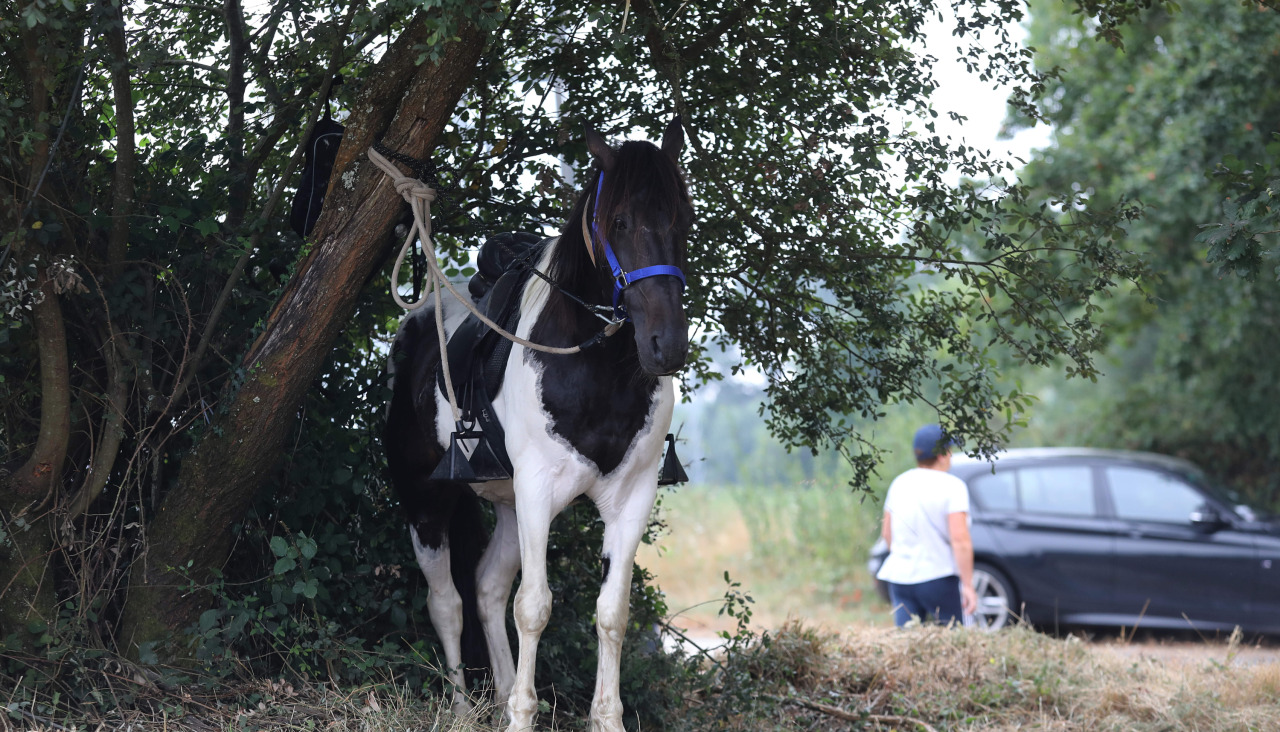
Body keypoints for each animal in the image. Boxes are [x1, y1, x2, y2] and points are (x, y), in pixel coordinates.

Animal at [383, 117, 692, 731]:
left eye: (683, 220)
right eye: (619, 221)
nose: (666, 345)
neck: (596, 370)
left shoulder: (629, 498)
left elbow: (611, 611)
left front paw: (604, 718)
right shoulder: (538, 490)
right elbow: (535, 607)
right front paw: (522, 715)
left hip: (506, 504)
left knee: (486, 589)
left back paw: (499, 693)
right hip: (425, 500)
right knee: (447, 603)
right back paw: (462, 708)